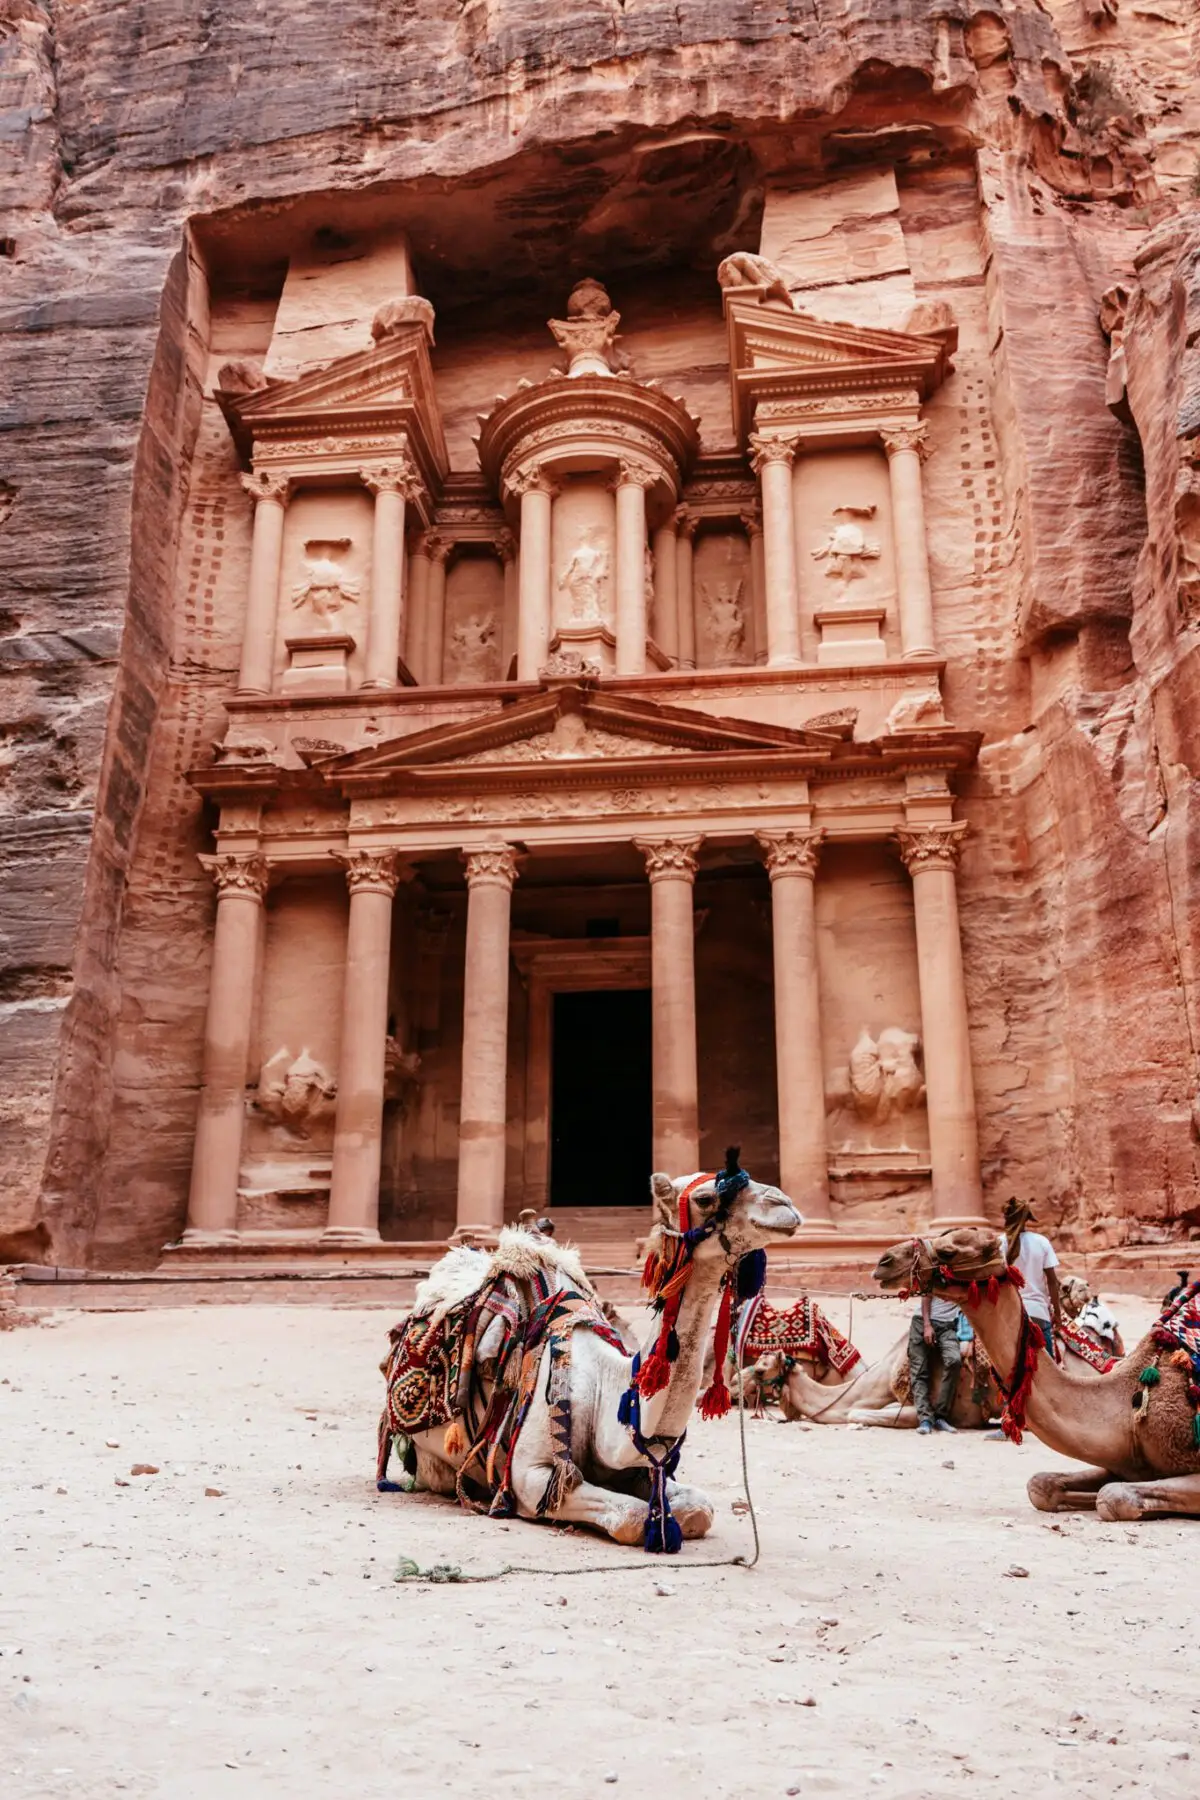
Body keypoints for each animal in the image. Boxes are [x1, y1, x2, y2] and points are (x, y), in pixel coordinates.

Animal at [383, 1152, 798, 1548]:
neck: (604, 1388)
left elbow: (699, 1508)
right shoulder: (531, 1475)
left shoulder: (639, 1466)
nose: (785, 1205)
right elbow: (630, 1517)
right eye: (705, 1197)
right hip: (432, 1459)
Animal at [874, 1224, 1200, 1519]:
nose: (883, 1262)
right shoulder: (1120, 1463)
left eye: (948, 1251)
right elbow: (1040, 1486)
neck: (1126, 1412)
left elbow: (1113, 1496)